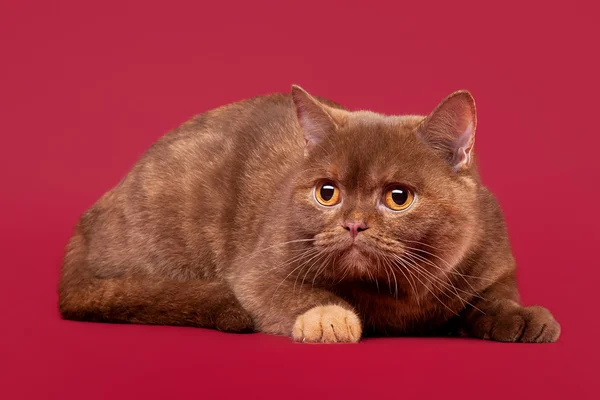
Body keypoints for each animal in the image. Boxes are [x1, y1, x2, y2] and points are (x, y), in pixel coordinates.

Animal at [58, 86, 560, 342]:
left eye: (398, 197)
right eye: (327, 193)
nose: (353, 224)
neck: (396, 297)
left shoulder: (492, 257)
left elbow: (495, 296)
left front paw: (522, 317)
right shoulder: (257, 268)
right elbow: (286, 291)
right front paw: (329, 317)